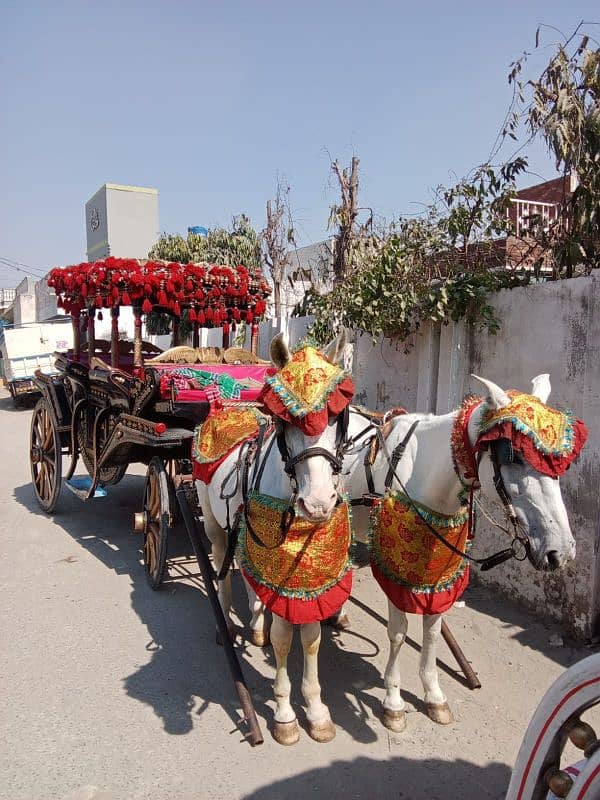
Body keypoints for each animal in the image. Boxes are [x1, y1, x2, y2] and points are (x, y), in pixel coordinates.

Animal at [195, 330, 350, 744]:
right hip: (214, 524)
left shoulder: (307, 575)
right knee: (222, 563)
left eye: (337, 417)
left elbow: (310, 637)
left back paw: (255, 622)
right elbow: (284, 638)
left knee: (247, 570)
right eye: (286, 422)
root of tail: (225, 409)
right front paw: (284, 713)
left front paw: (316, 709)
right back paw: (227, 623)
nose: (317, 503)